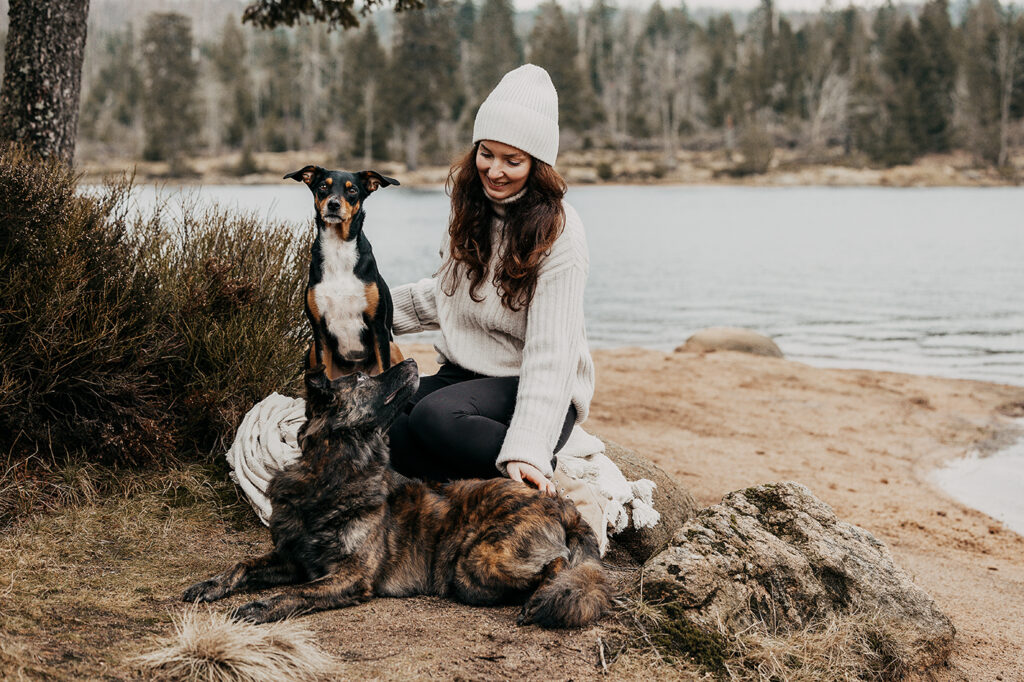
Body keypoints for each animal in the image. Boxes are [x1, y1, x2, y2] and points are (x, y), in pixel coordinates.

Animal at [183, 358, 610, 630]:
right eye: (360, 378)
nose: (413, 362)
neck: (334, 474)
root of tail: (560, 504)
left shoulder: (351, 574)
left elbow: (299, 592)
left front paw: (259, 606)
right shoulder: (292, 557)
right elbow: (243, 564)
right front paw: (209, 585)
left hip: (478, 563)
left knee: (560, 566)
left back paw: (542, 600)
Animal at [286, 163, 405, 376]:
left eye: (352, 190)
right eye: (323, 186)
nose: (333, 204)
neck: (338, 249)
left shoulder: (379, 328)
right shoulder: (319, 331)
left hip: (394, 347)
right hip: (312, 349)